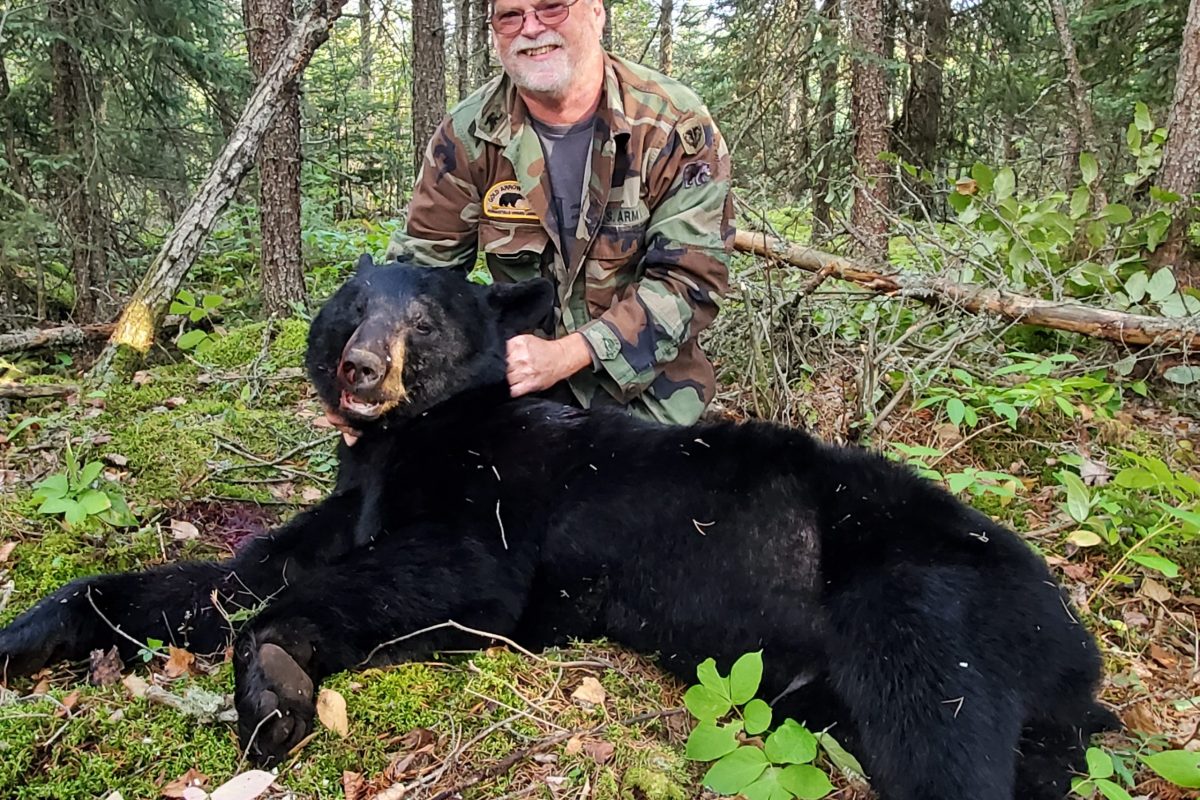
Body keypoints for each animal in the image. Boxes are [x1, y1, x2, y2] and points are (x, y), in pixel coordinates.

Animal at [0, 258, 1114, 800]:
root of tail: (1078, 645)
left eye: (421, 322)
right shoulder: (352, 496)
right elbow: (235, 570)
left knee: (938, 723)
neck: (414, 438)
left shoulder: (497, 510)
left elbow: (449, 571)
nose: (359, 368)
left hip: (922, 592)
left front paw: (273, 677)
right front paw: (32, 630)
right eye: (349, 308)